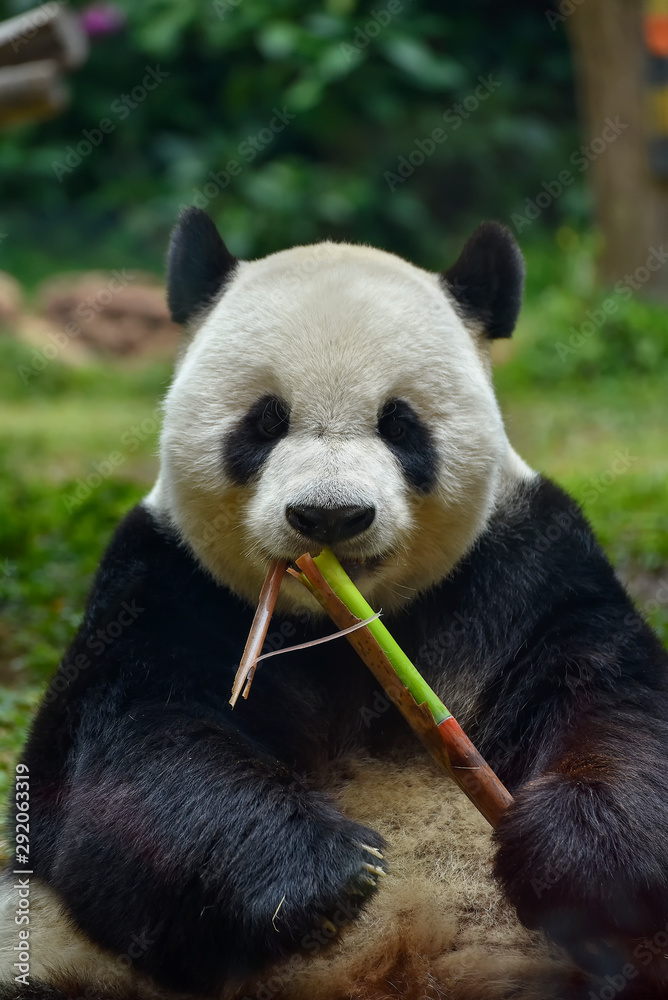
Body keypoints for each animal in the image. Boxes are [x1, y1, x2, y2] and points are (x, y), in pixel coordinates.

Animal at [2, 208, 668, 1000]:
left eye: (400, 424)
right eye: (265, 422)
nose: (329, 517)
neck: (341, 625)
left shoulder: (527, 569)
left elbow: (615, 698)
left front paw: (572, 853)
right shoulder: (161, 583)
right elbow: (128, 757)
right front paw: (332, 874)